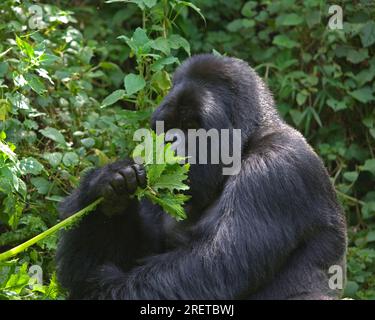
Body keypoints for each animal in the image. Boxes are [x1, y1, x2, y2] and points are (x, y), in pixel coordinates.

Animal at [57, 53, 348, 300]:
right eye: (168, 125)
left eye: (190, 125)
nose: (169, 142)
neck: (245, 146)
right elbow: (121, 254)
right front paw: (108, 186)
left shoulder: (277, 167)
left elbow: (216, 264)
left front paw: (102, 288)